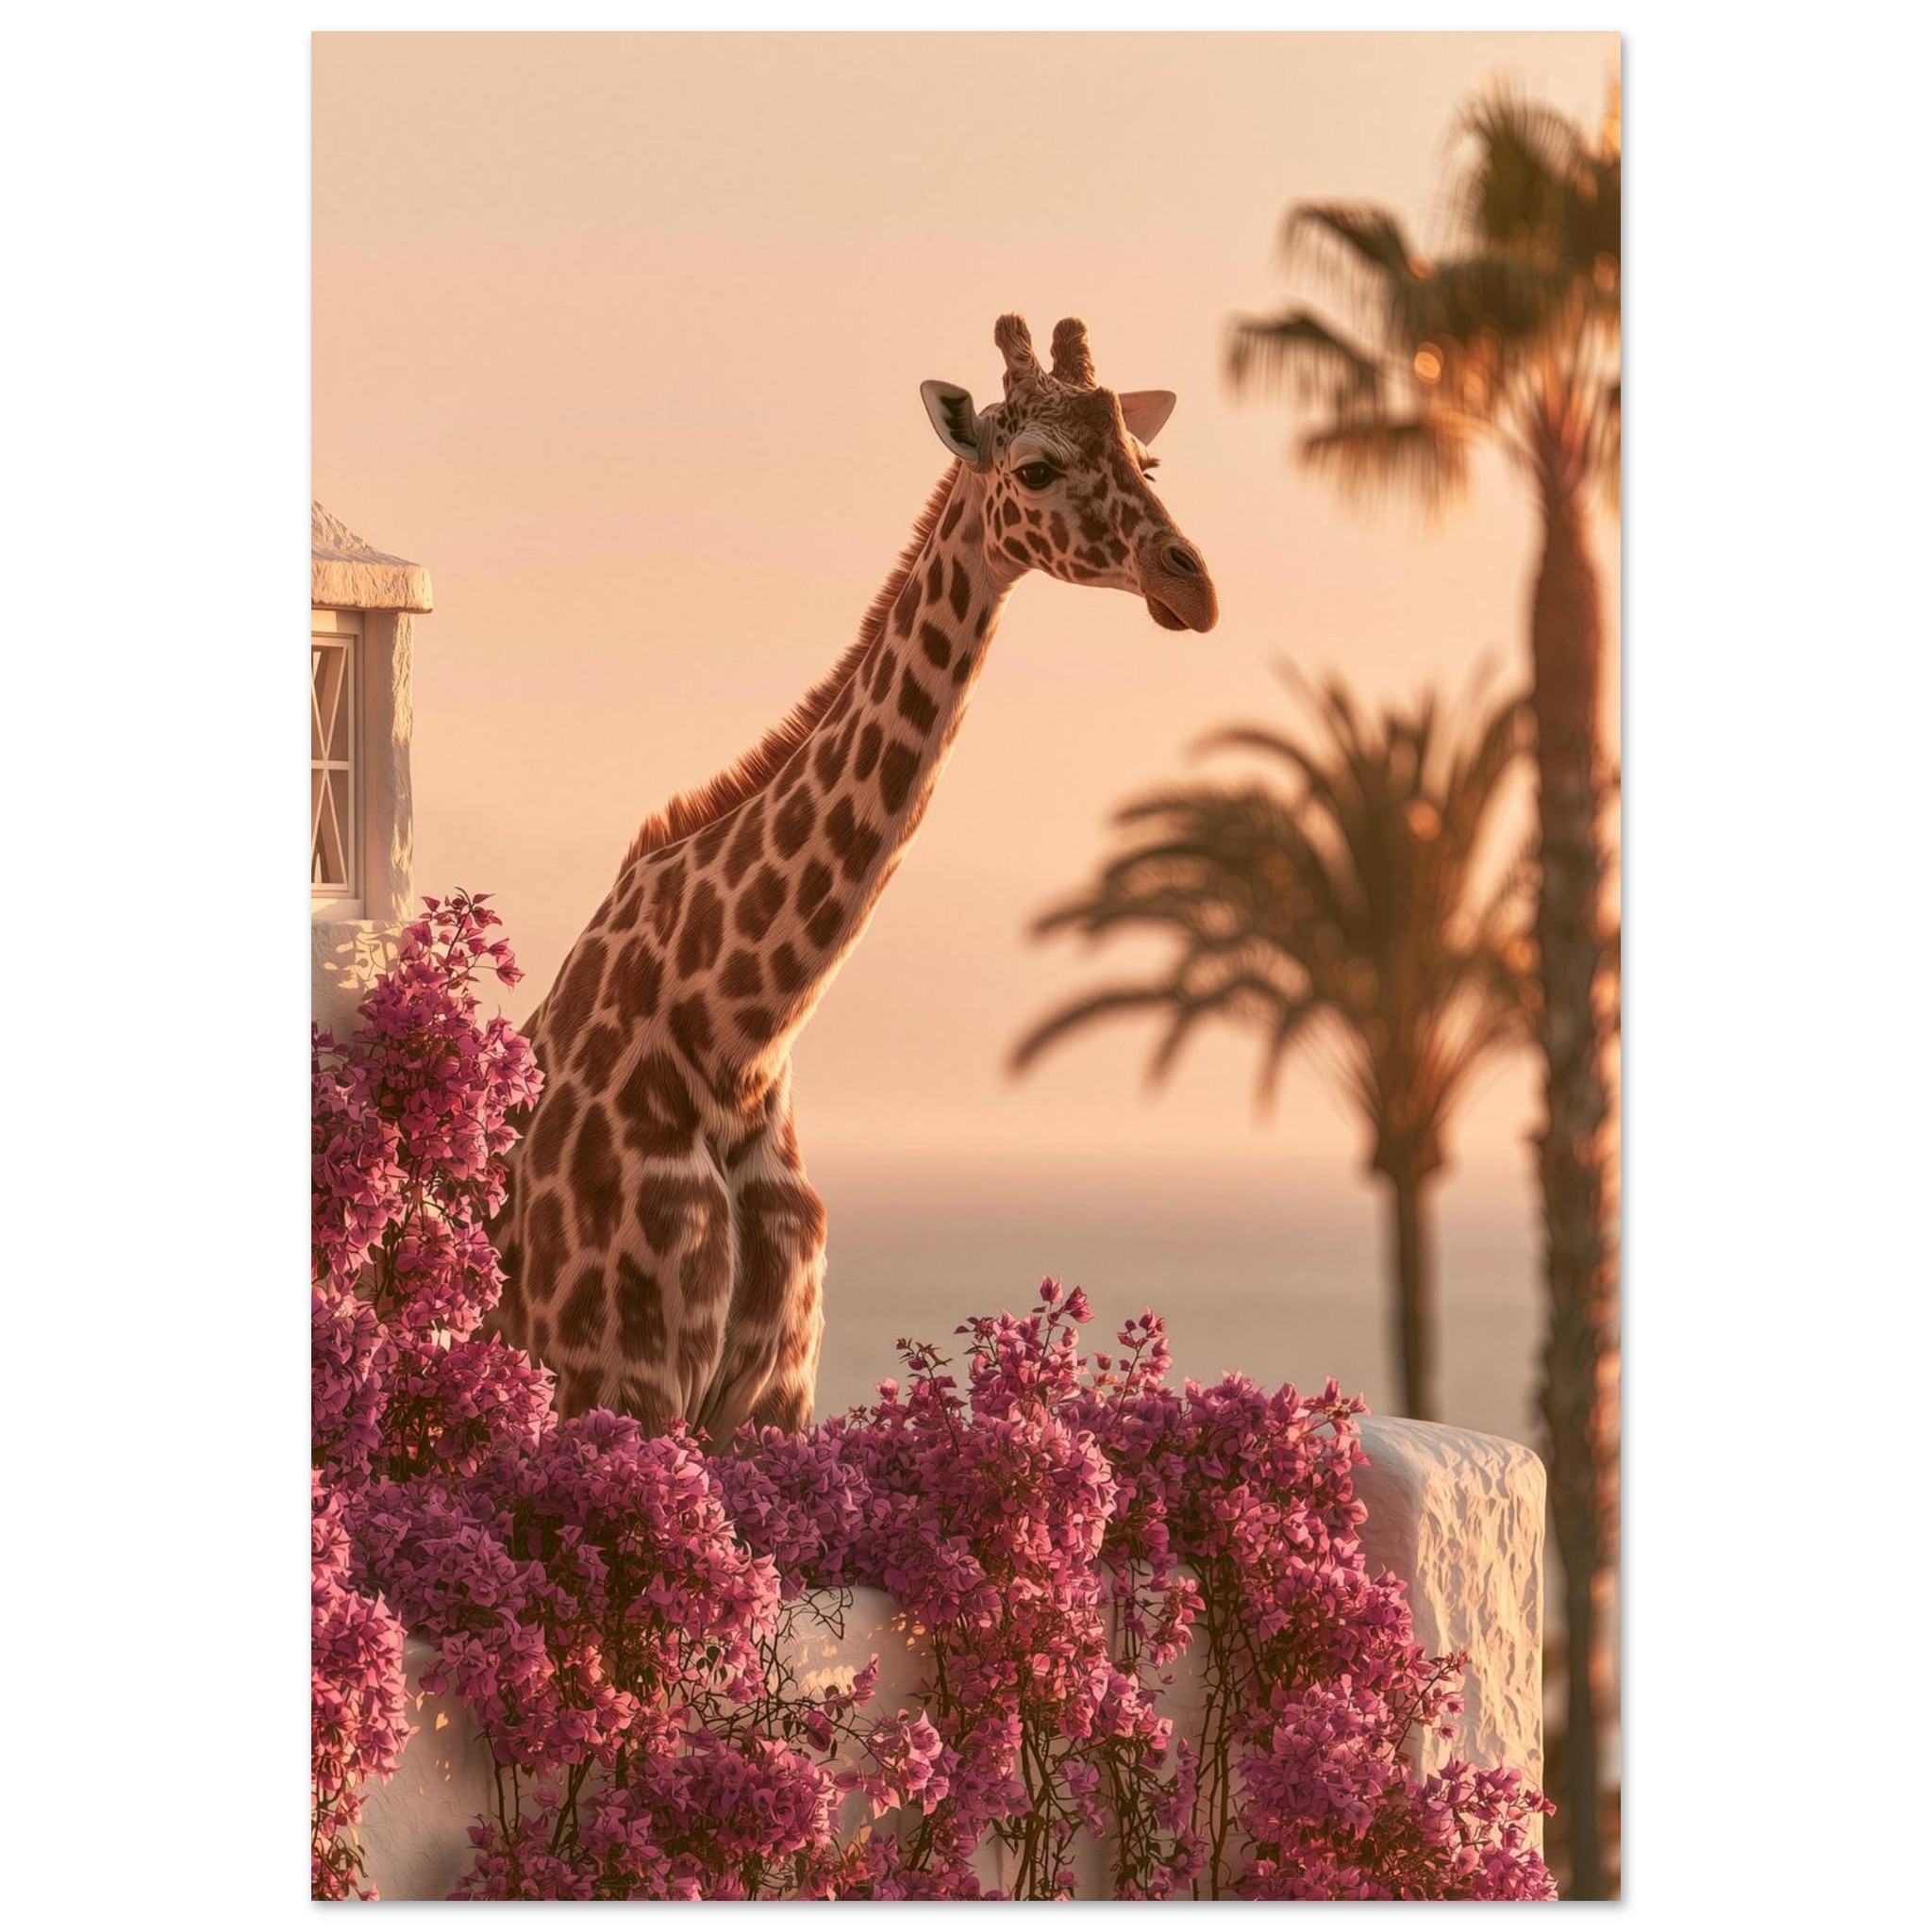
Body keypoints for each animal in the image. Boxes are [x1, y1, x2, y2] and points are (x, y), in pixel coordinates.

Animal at [491, 313, 1218, 1442]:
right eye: (1036, 467)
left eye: (1146, 460)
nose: (1193, 586)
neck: (735, 1036)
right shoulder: (615, 1377)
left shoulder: (772, 1394)